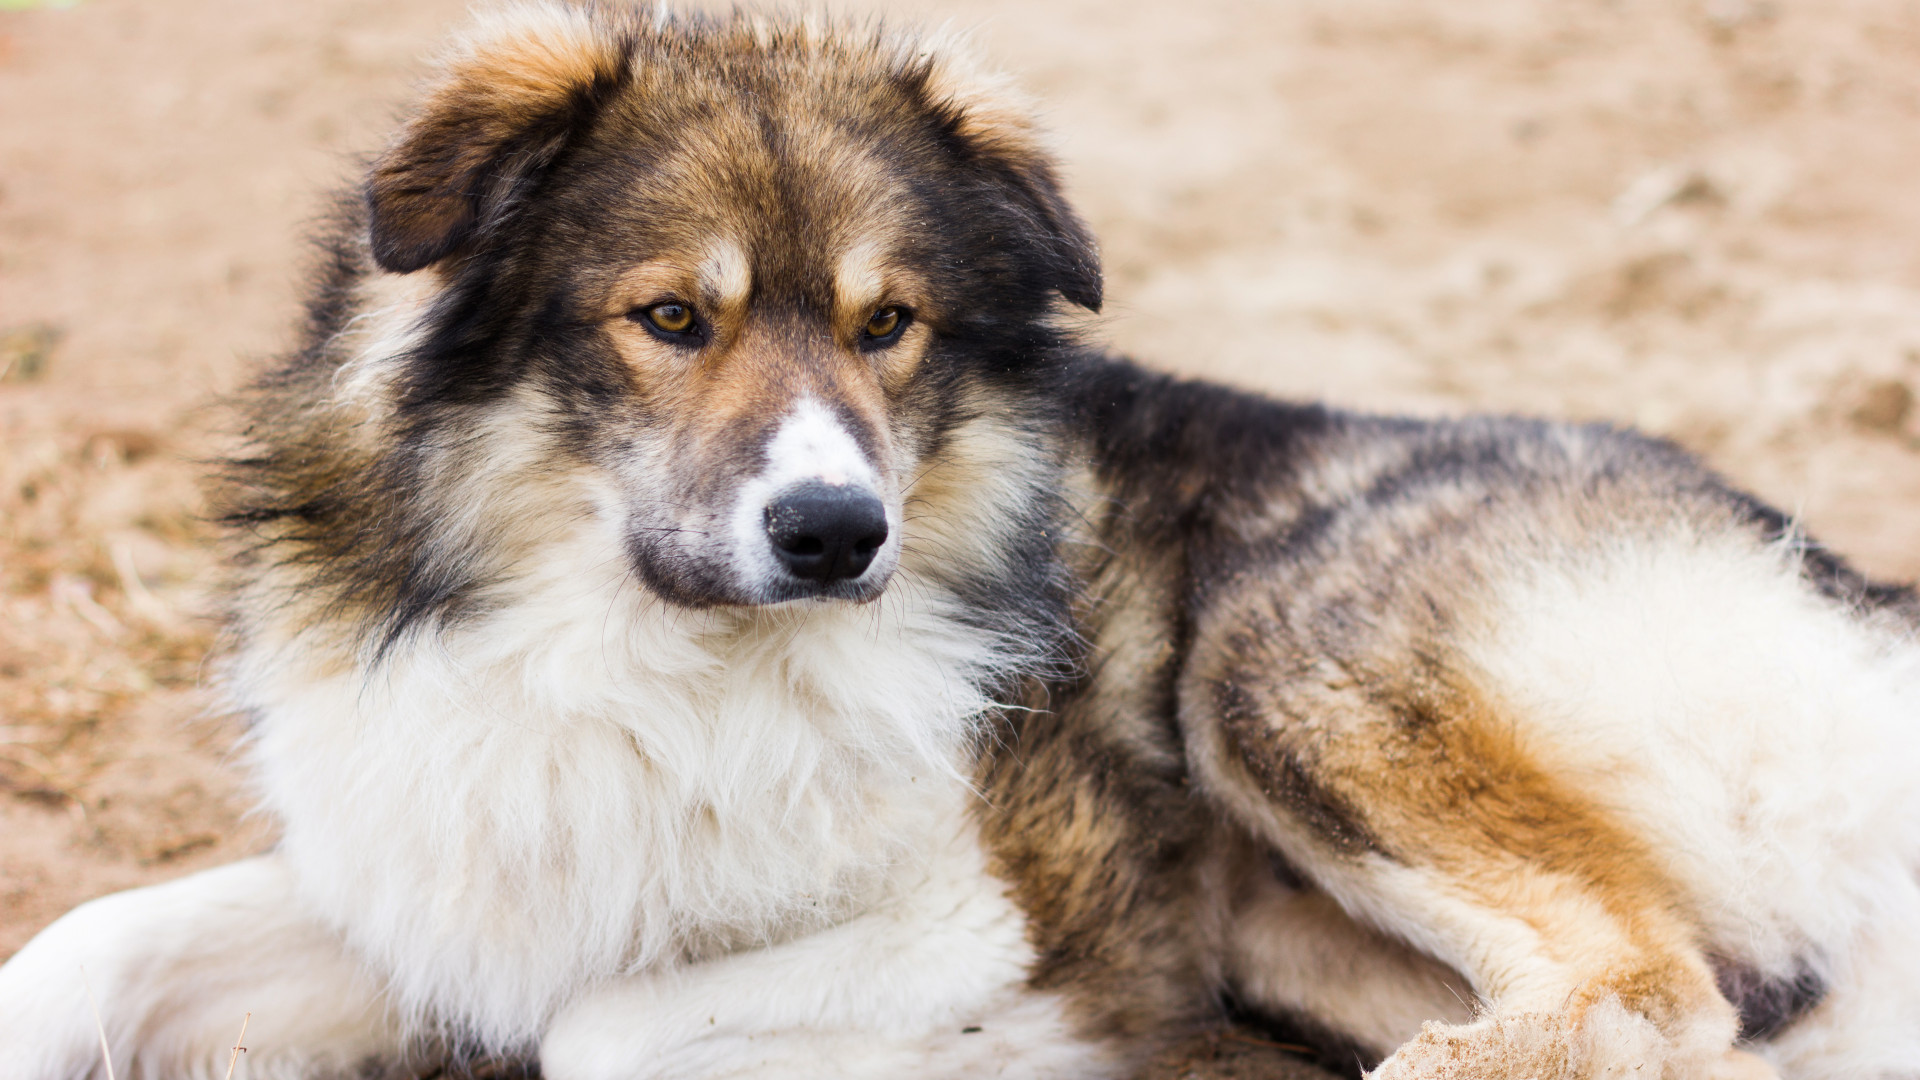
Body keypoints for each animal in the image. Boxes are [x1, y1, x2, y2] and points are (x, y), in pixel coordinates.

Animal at [3, 2, 1920, 1076]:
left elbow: (597, 1034)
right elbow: (80, 948)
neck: (634, 659)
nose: (835, 534)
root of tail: (1858, 597)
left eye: (889, 325)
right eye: (671, 320)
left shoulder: (990, 910)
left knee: (1646, 988)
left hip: (1273, 657)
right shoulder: (443, 876)